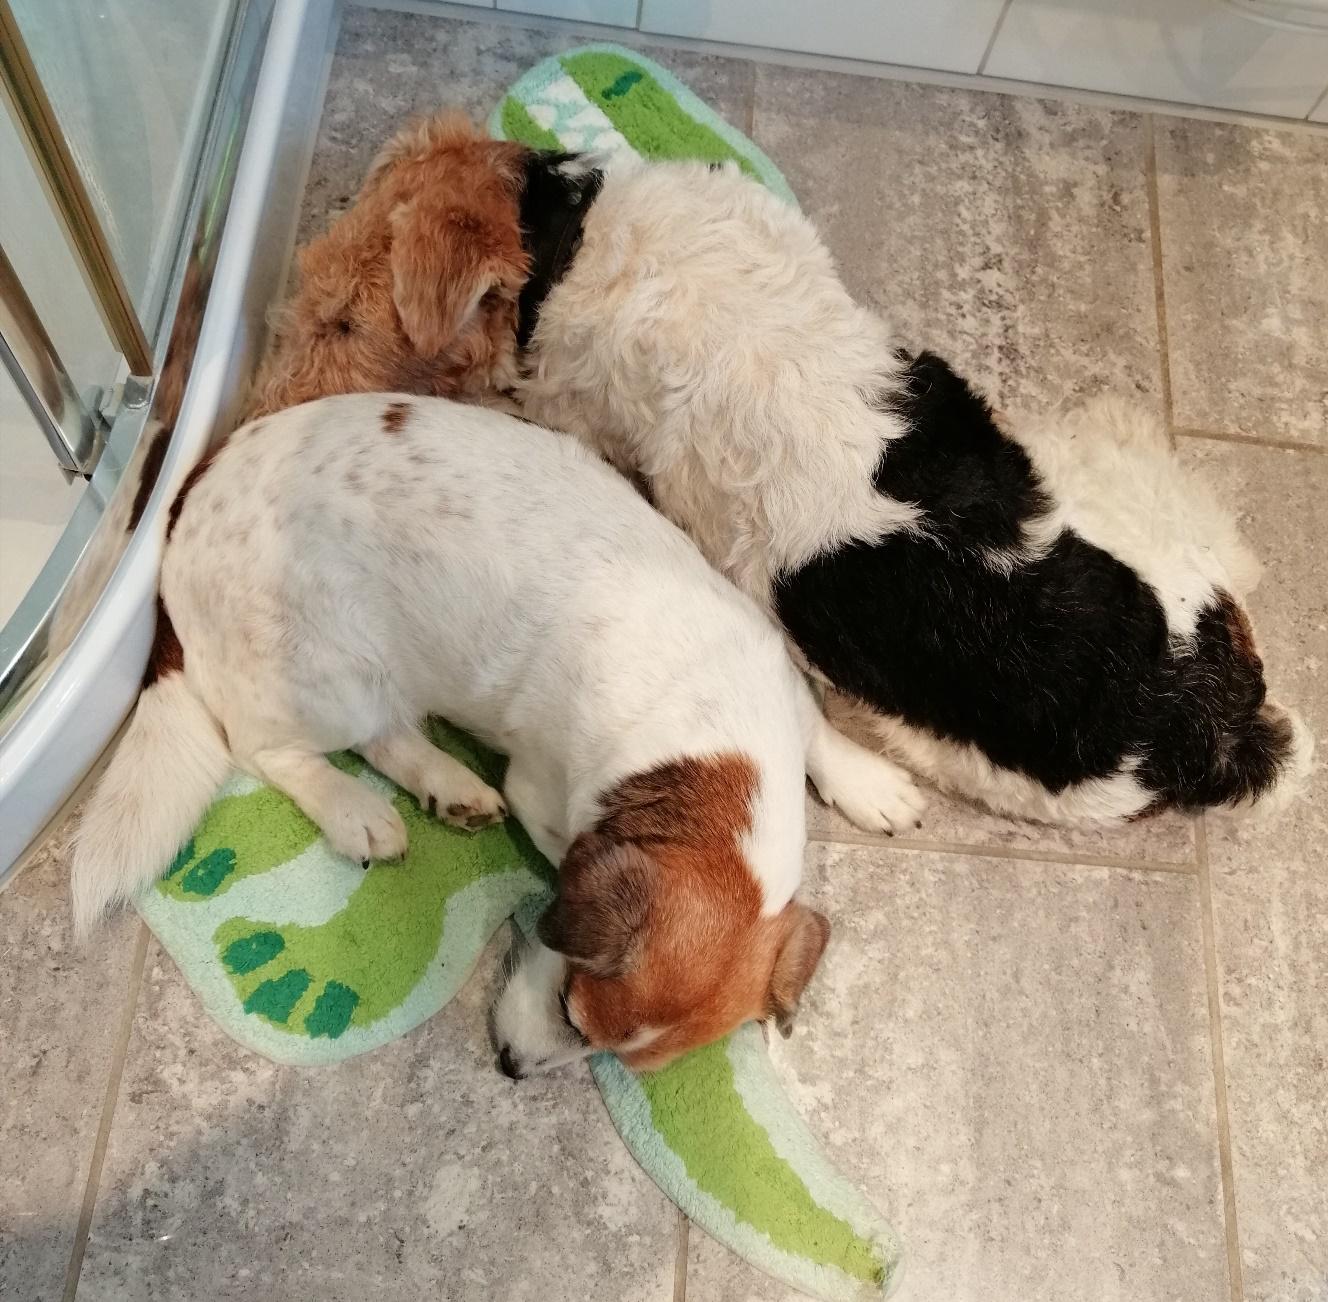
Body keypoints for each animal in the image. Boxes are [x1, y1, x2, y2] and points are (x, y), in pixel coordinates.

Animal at [70, 394, 926, 1073]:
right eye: (573, 1011)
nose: (510, 1069)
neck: (707, 740)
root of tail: (183, 503)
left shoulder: (774, 677)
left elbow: (819, 734)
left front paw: (871, 782)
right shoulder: (546, 797)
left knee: (386, 737)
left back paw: (446, 786)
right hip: (334, 677)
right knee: (268, 748)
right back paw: (358, 811)